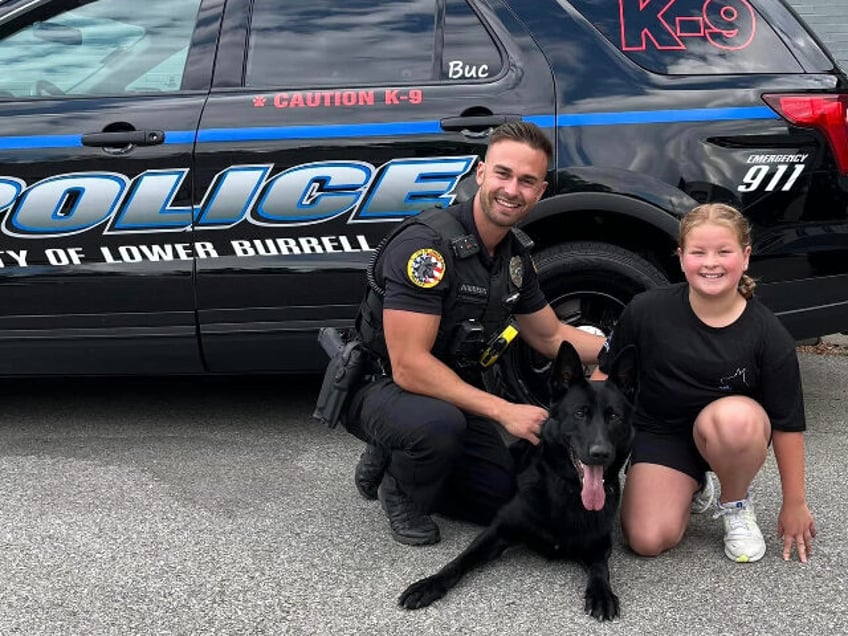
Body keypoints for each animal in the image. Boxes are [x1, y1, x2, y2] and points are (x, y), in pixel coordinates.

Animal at [398, 342, 636, 620]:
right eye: (580, 413)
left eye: (614, 417)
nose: (600, 453)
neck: (567, 491)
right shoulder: (498, 530)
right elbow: (460, 560)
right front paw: (430, 584)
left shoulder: (599, 545)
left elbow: (600, 569)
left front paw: (601, 593)